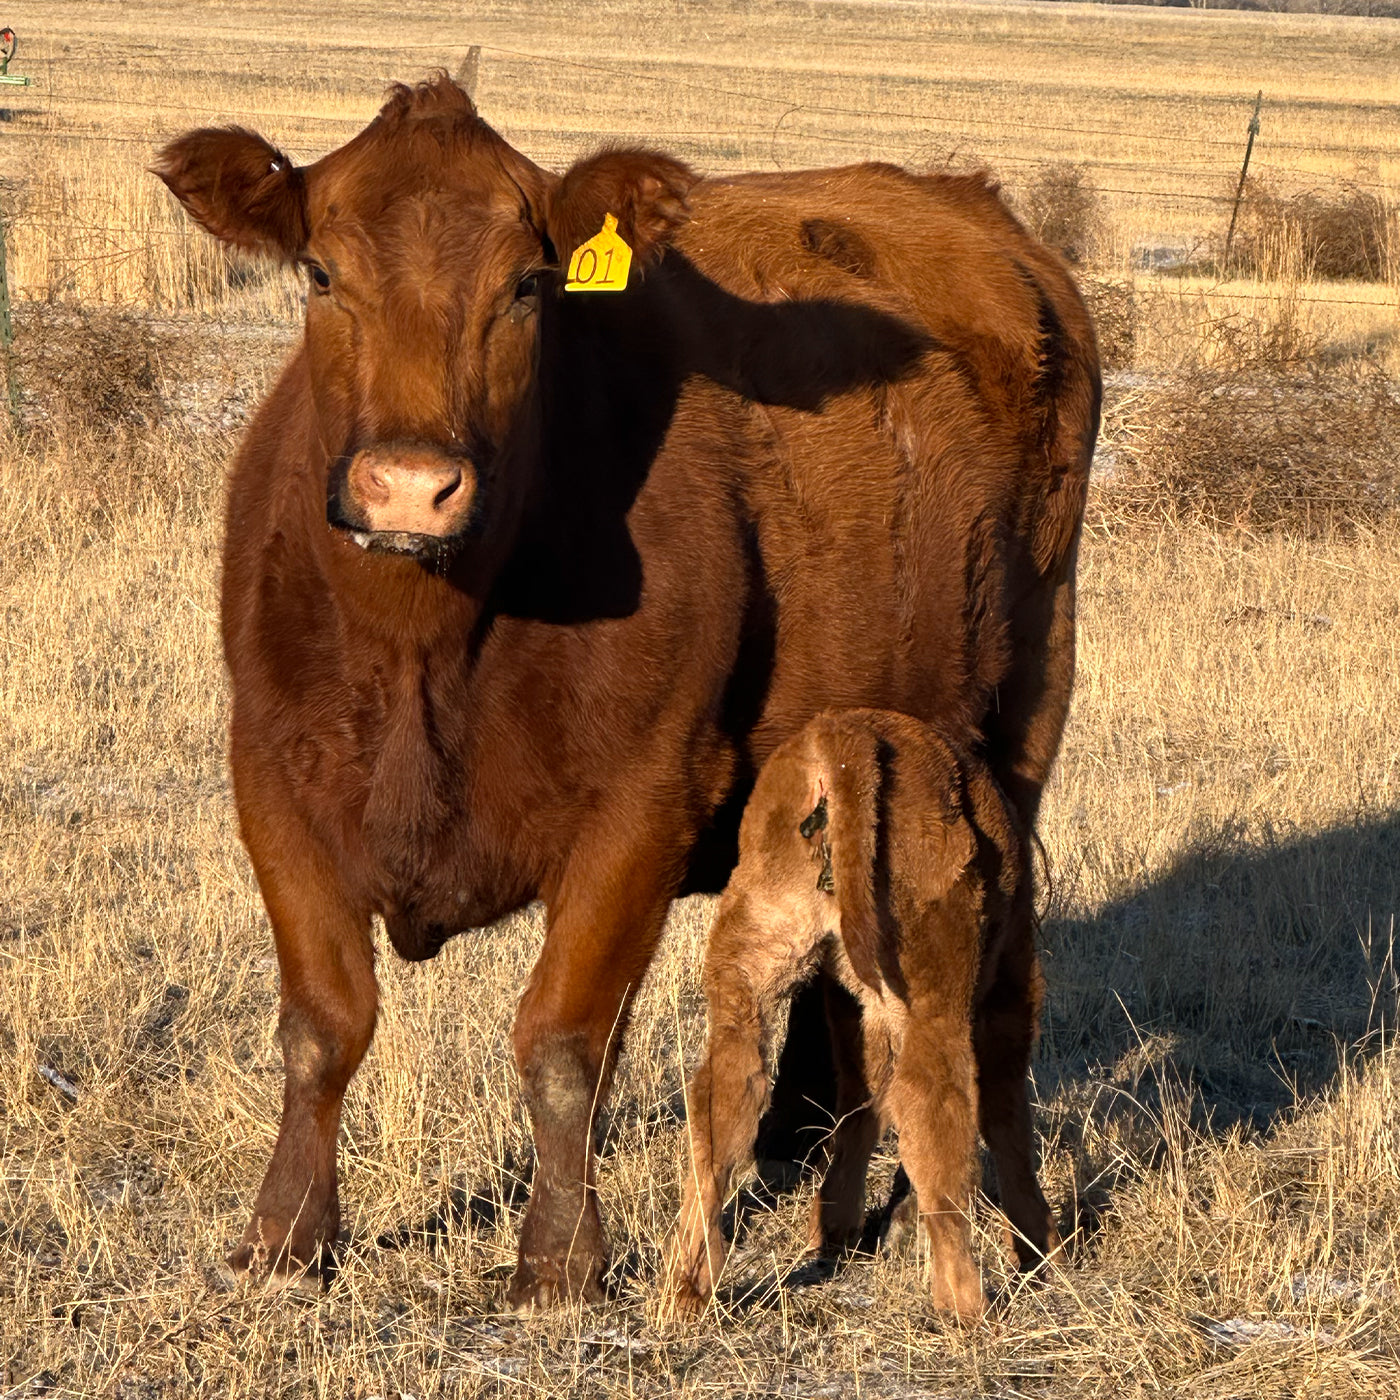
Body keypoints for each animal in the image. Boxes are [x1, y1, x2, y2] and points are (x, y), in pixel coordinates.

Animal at [661, 708, 1051, 1322]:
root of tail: (842, 742)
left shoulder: (850, 1004)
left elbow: (860, 1098)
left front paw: (835, 1229)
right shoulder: (1010, 983)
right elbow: (1006, 1114)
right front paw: (1042, 1247)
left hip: (749, 975)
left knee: (724, 1102)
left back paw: (686, 1292)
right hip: (934, 999)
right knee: (935, 1109)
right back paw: (966, 1307)